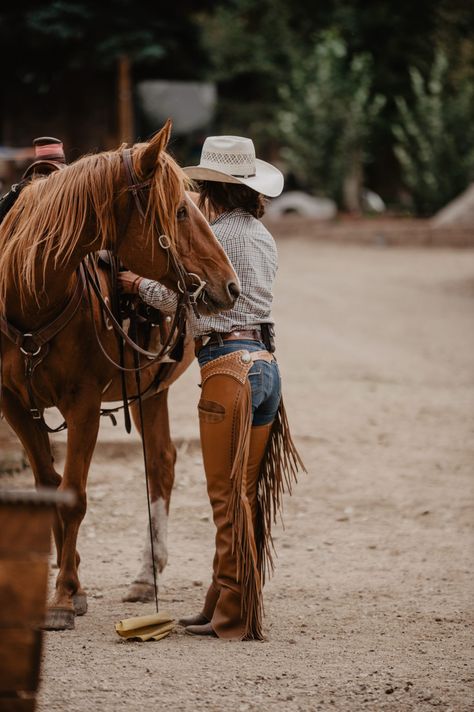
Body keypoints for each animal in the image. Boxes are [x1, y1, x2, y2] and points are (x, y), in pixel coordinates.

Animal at [0, 122, 239, 628]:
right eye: (180, 211)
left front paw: (64, 597)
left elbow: (74, 494)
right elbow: (50, 485)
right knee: (161, 461)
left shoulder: (84, 404)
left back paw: (147, 575)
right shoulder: (13, 404)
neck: (27, 289)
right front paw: (69, 585)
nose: (230, 284)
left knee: (160, 466)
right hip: (150, 390)